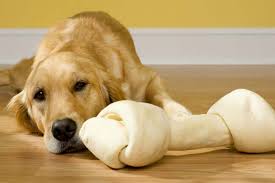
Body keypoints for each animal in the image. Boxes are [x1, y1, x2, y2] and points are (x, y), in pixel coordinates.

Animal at [4, 11, 191, 153]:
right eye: (39, 94)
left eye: (80, 84)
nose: (63, 129)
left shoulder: (147, 78)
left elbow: (161, 95)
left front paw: (179, 115)